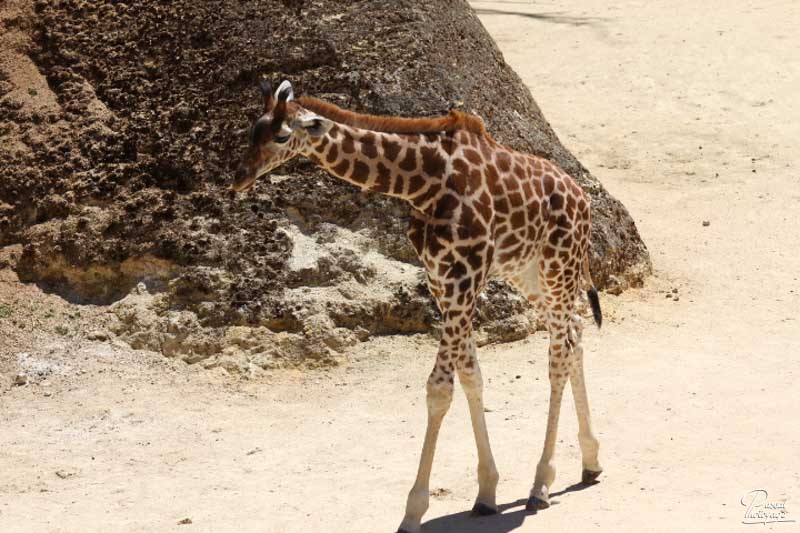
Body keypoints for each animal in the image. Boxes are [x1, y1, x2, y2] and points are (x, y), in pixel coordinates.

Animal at [234, 80, 604, 532]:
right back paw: (590, 460)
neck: (423, 183)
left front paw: (413, 510)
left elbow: (439, 389)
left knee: (560, 352)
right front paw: (486, 492)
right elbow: (471, 376)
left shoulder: (463, 279)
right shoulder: (442, 281)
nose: (239, 178)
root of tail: (584, 199)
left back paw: (542, 483)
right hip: (529, 273)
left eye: (282, 136)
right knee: (575, 333)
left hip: (557, 267)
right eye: (252, 130)